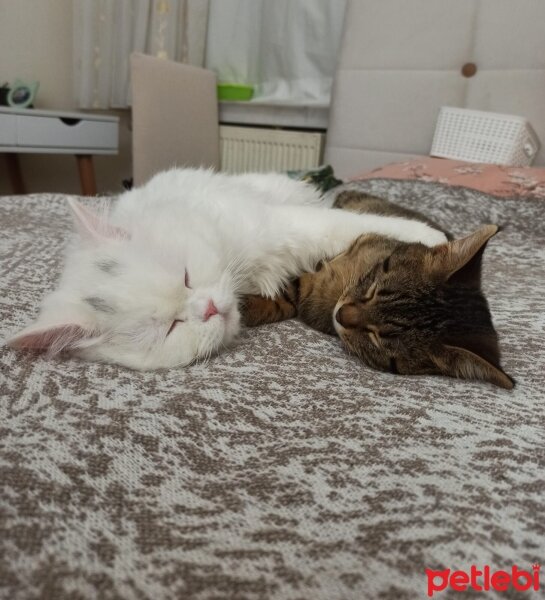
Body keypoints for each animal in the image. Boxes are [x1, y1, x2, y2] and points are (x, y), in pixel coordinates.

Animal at [6, 166, 444, 368]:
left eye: (186, 276)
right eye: (170, 327)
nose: (210, 309)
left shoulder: (278, 225)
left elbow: (345, 225)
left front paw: (431, 236)